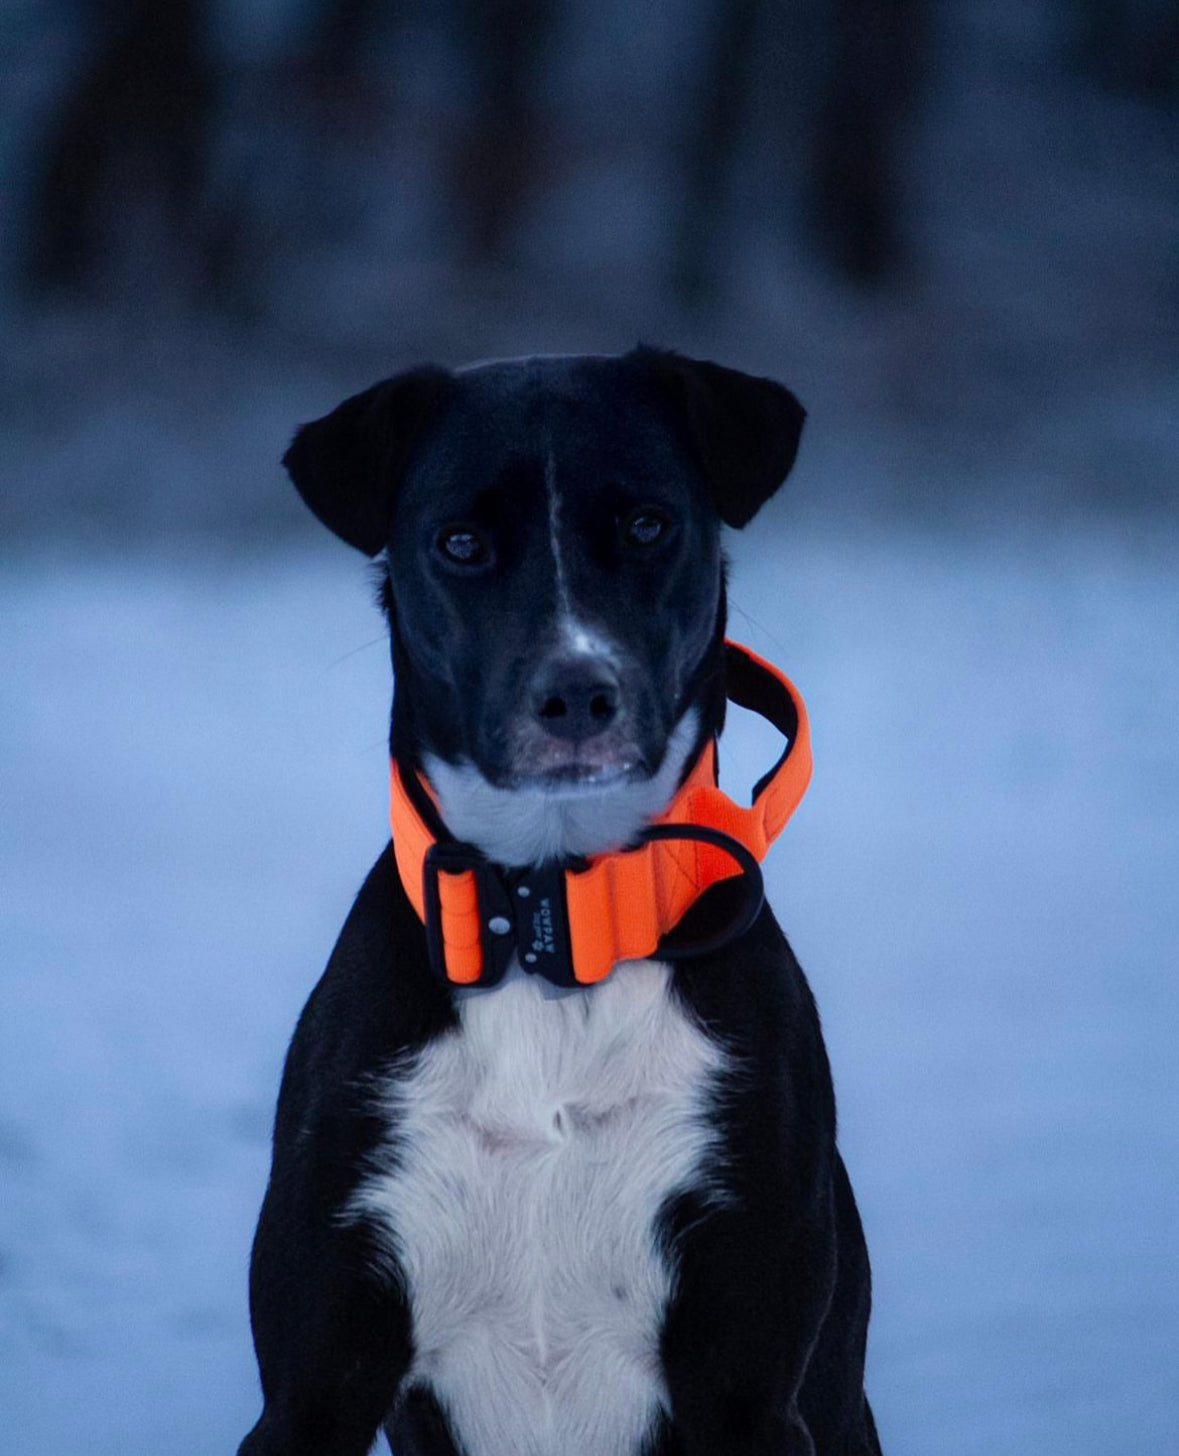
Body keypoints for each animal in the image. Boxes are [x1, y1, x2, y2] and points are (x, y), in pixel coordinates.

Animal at [238, 346, 884, 1450]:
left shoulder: (751, 1381)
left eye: (647, 524)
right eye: (459, 542)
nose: (578, 694)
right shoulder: (313, 1379)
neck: (557, 930)